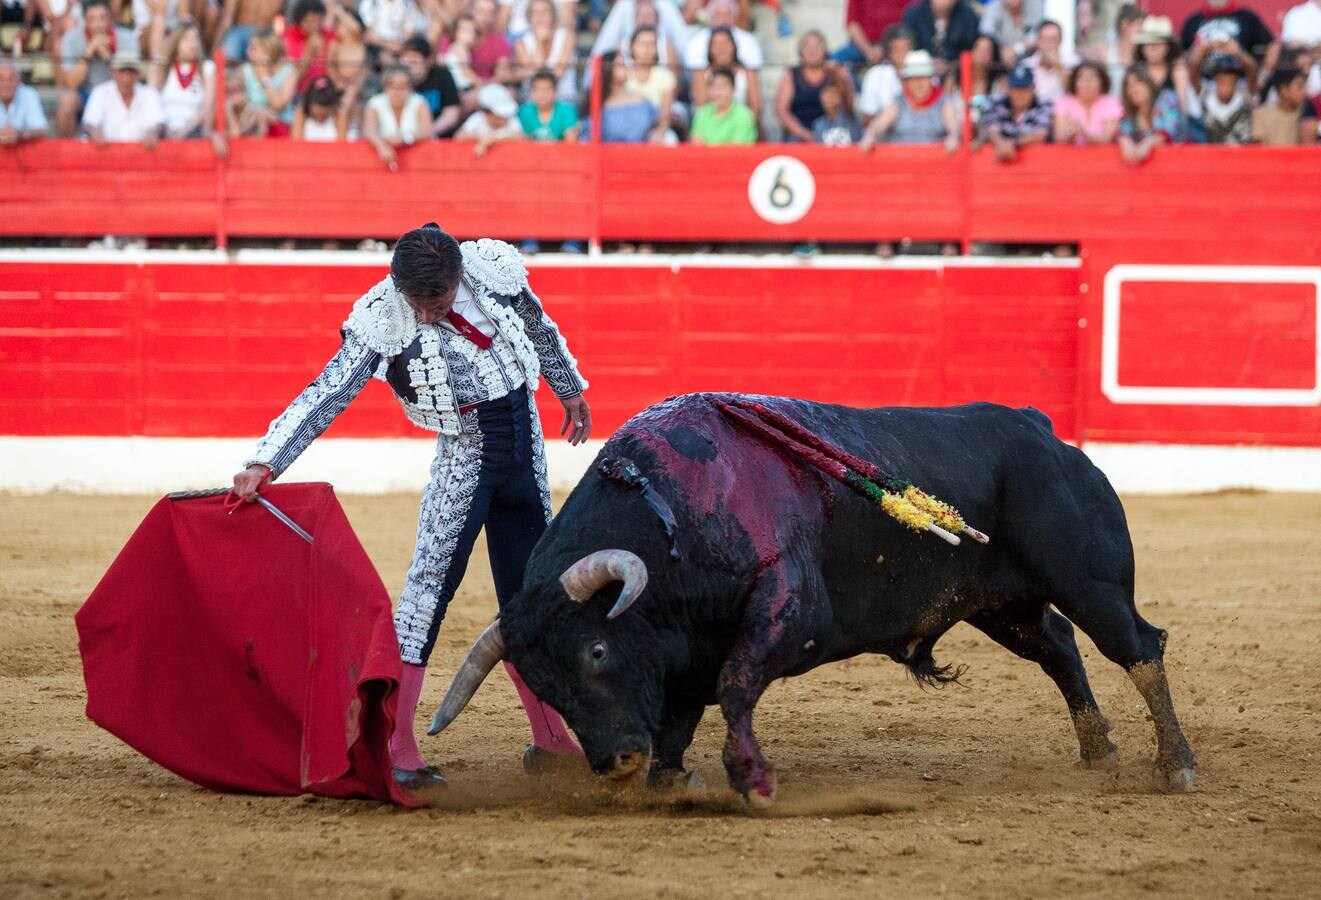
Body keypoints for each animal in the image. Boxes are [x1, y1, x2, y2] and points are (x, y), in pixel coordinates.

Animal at [433, 396, 1199, 803]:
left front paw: (752, 777)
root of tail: (1036, 426)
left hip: (1090, 581)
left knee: (1137, 647)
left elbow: (735, 684)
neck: (670, 509)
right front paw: (668, 779)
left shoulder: (790, 608)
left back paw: (1176, 765)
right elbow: (682, 710)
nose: (613, 760)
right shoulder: (684, 651)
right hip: (999, 605)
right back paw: (1098, 749)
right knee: (1060, 647)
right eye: (543, 687)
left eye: (595, 650)